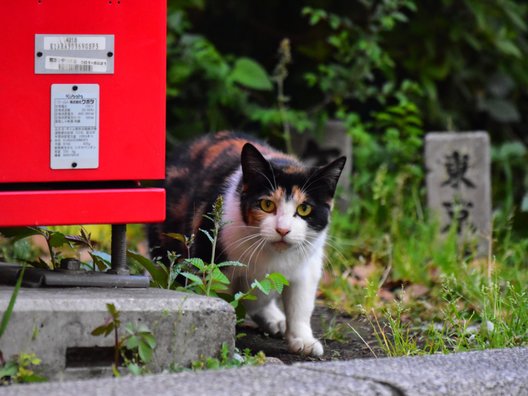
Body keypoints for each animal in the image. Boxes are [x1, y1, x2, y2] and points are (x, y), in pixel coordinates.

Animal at [150, 131, 346, 356]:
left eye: (304, 209)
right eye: (267, 204)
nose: (283, 229)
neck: (270, 255)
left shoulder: (308, 264)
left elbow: (301, 304)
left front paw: (303, 340)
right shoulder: (213, 260)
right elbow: (220, 298)